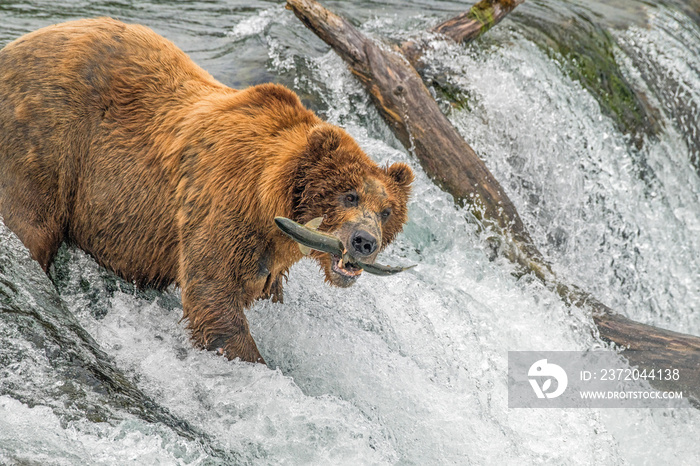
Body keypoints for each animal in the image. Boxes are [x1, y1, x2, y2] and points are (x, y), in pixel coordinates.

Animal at [0, 18, 410, 362]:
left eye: (387, 210)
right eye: (349, 195)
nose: (364, 241)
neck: (271, 201)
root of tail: (15, 46)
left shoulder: (268, 255)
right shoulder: (224, 201)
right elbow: (213, 295)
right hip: (45, 138)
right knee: (31, 224)